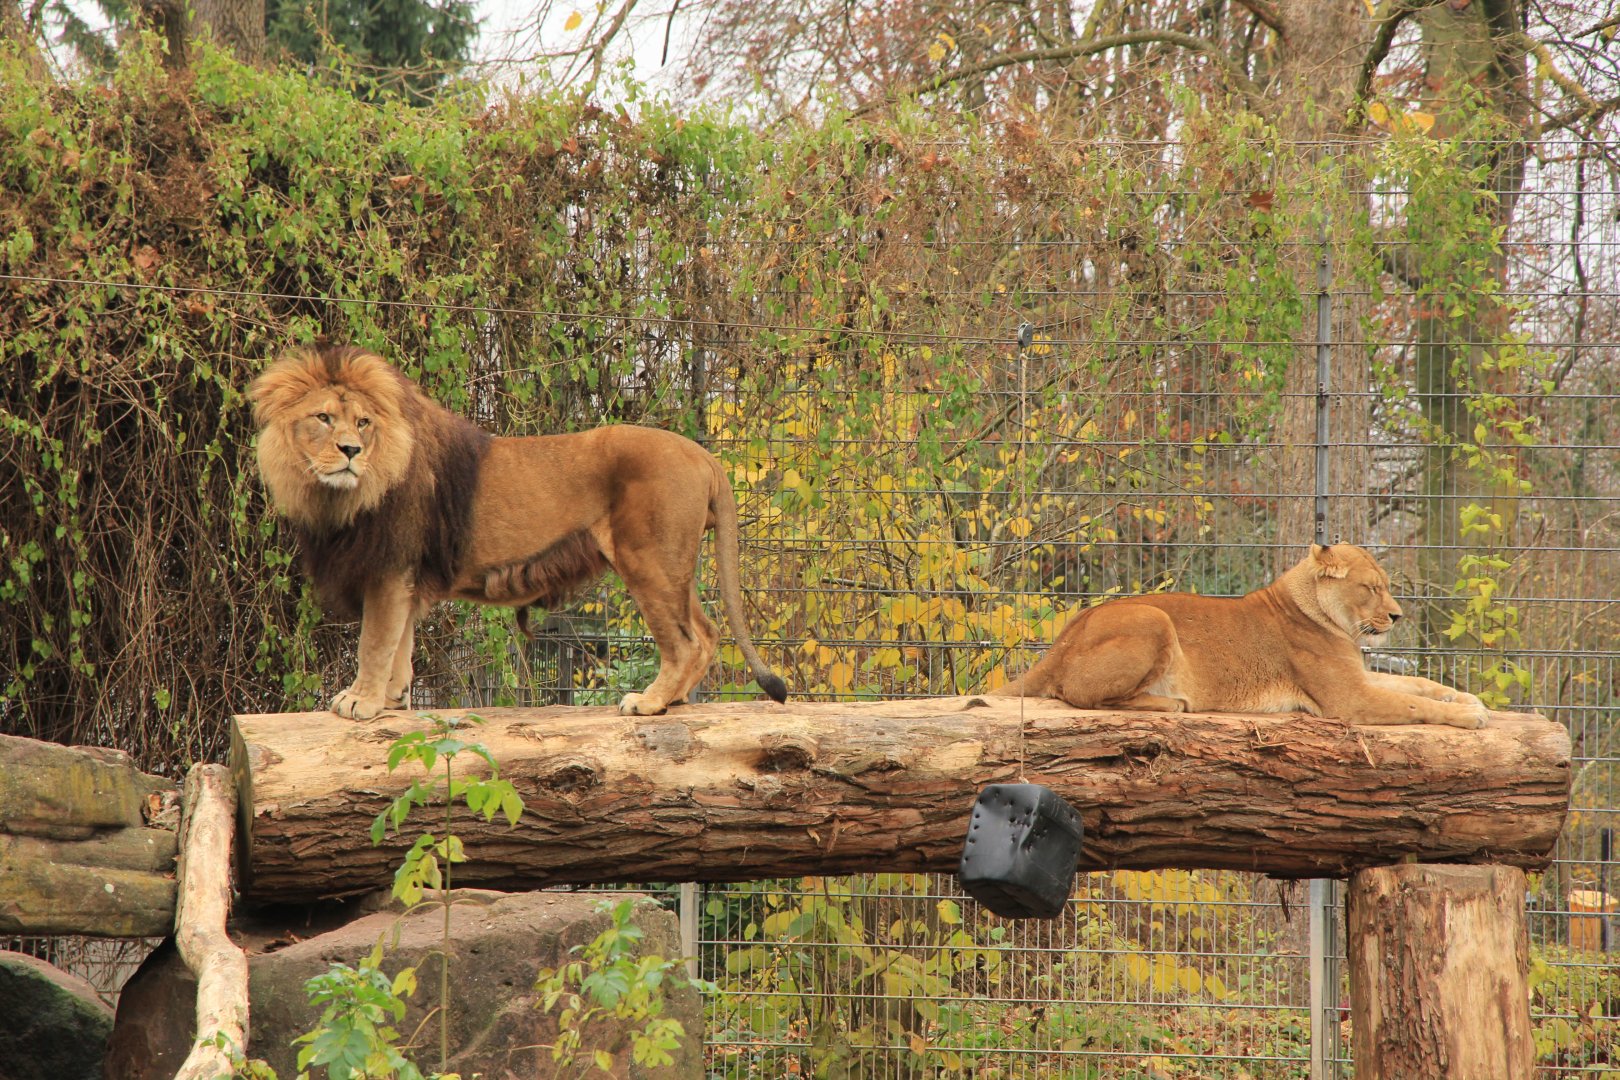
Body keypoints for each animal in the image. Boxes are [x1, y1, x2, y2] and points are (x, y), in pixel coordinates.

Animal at [249, 343, 788, 720]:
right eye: (323, 418)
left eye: (363, 422)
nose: (350, 451)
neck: (343, 492)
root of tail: (703, 455)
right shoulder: (406, 575)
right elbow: (401, 640)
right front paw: (392, 697)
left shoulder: (390, 565)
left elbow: (375, 640)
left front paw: (361, 701)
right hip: (674, 565)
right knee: (707, 631)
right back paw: (674, 701)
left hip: (648, 560)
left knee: (685, 641)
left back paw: (650, 703)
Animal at [994, 544, 1487, 729]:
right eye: (1371, 588)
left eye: (1385, 586)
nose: (1397, 616)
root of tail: (1062, 639)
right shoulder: (1348, 700)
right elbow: (1414, 705)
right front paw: (1471, 716)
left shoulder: (1358, 678)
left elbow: (1416, 684)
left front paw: (1468, 698)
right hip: (1154, 618)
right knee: (1082, 696)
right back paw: (1172, 703)